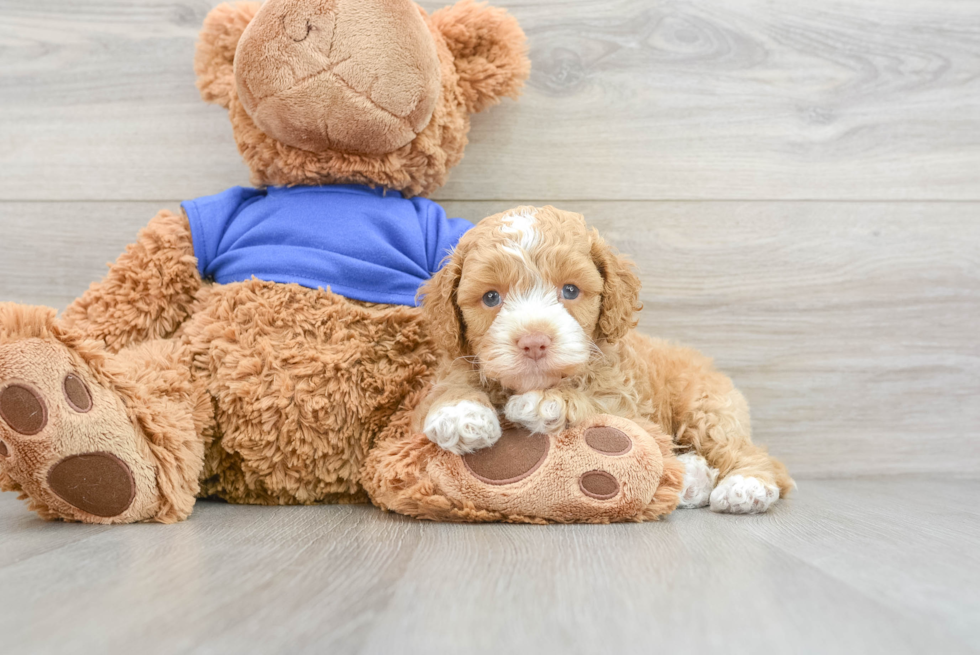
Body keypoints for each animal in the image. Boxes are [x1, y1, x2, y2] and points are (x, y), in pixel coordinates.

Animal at [418, 208, 792, 516]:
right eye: (491, 297)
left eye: (570, 290)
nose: (534, 341)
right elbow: (449, 385)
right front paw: (460, 414)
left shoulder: (626, 400)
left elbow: (596, 404)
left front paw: (546, 403)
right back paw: (693, 479)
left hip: (706, 409)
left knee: (746, 452)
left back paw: (746, 485)